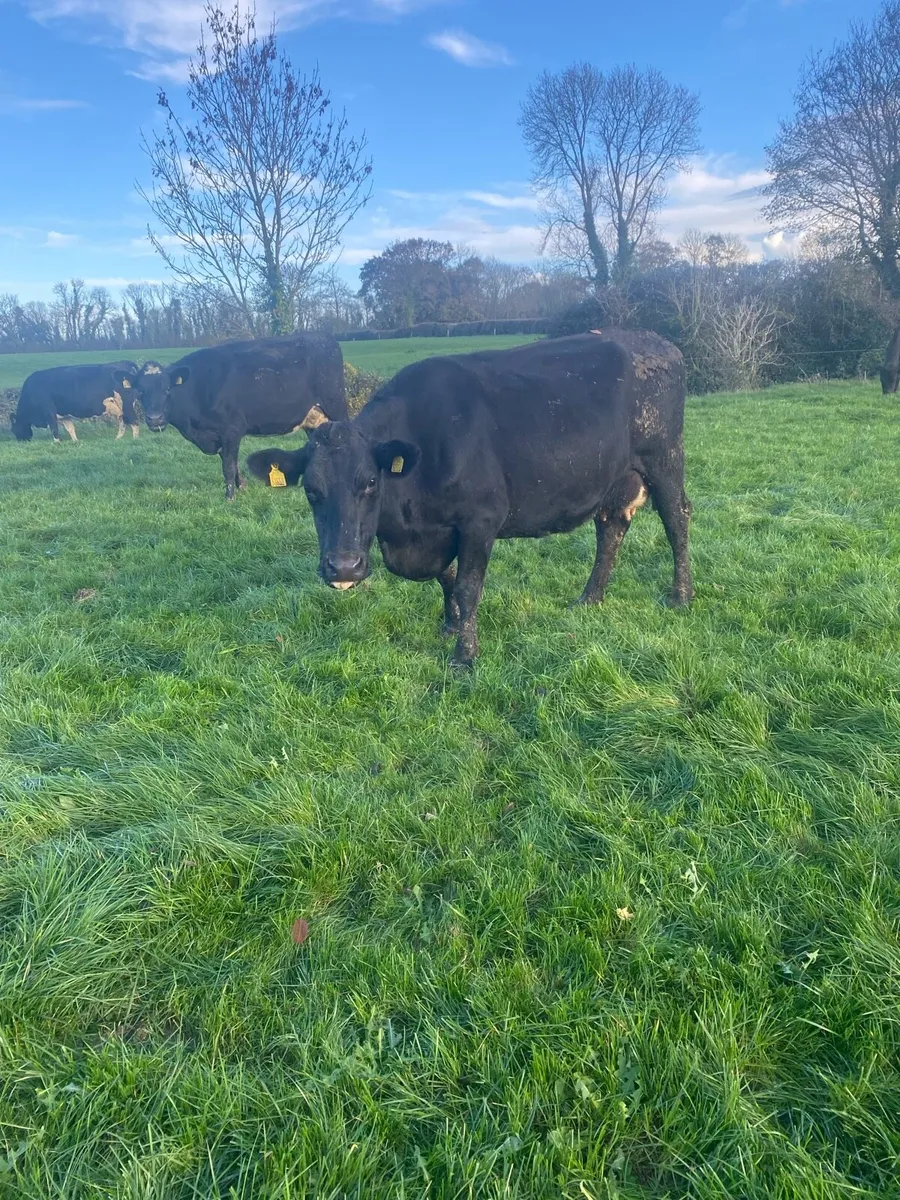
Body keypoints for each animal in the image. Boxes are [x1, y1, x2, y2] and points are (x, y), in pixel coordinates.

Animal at [10, 361, 140, 442]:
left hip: (126, 404)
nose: (21, 441)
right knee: (123, 422)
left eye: (13, 429)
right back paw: (118, 438)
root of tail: (122, 363)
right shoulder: (64, 415)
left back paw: (135, 439)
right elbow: (70, 429)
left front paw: (56, 442)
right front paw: (75, 441)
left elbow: (54, 428)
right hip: (120, 408)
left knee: (133, 421)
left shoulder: (49, 412)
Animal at [122, 333, 348, 499]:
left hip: (335, 405)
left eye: (167, 390)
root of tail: (323, 337)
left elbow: (228, 466)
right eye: (140, 391)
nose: (155, 419)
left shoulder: (231, 429)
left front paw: (229, 497)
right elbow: (231, 462)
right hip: (313, 418)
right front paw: (242, 486)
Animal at [245, 331, 693, 667]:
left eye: (370, 482)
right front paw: (450, 627)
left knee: (677, 519)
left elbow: (467, 587)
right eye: (311, 490)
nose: (343, 567)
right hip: (615, 478)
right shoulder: (438, 531)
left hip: (664, 457)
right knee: (610, 529)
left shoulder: (481, 520)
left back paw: (680, 597)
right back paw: (589, 598)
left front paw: (464, 656)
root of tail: (657, 343)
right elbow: (446, 579)